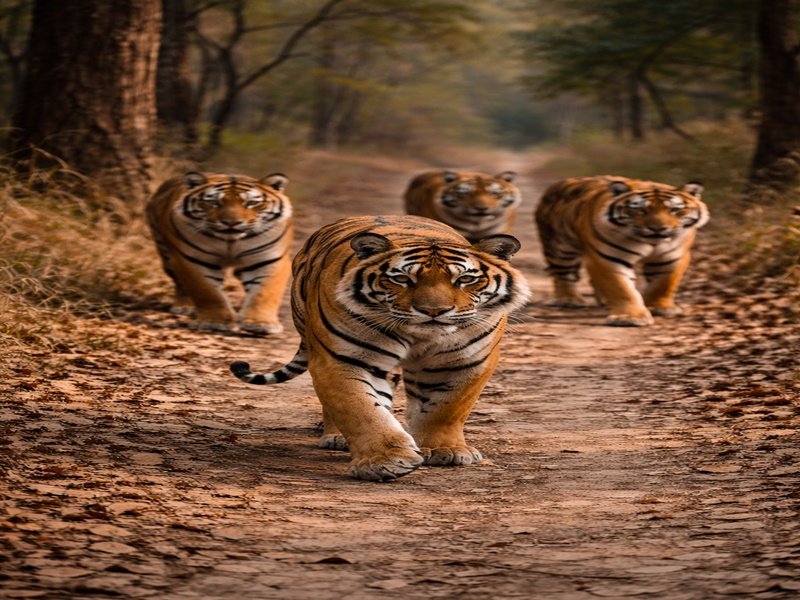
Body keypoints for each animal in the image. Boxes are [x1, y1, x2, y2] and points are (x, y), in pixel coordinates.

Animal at [146, 171, 293, 334]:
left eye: (251, 203)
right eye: (214, 202)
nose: (231, 223)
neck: (231, 241)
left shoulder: (269, 259)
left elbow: (265, 291)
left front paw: (260, 322)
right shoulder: (192, 260)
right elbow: (208, 291)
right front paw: (215, 322)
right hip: (167, 255)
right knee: (181, 283)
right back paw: (185, 306)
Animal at [229, 215, 531, 481]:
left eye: (466, 280)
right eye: (401, 279)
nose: (433, 311)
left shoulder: (468, 361)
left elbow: (447, 408)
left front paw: (445, 450)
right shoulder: (342, 358)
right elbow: (360, 408)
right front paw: (385, 460)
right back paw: (337, 437)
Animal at [535, 175, 709, 327]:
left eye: (674, 209)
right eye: (640, 210)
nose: (657, 228)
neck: (650, 243)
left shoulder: (673, 257)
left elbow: (663, 284)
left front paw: (660, 307)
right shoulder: (608, 258)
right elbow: (621, 288)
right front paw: (630, 317)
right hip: (560, 247)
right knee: (563, 274)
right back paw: (569, 299)